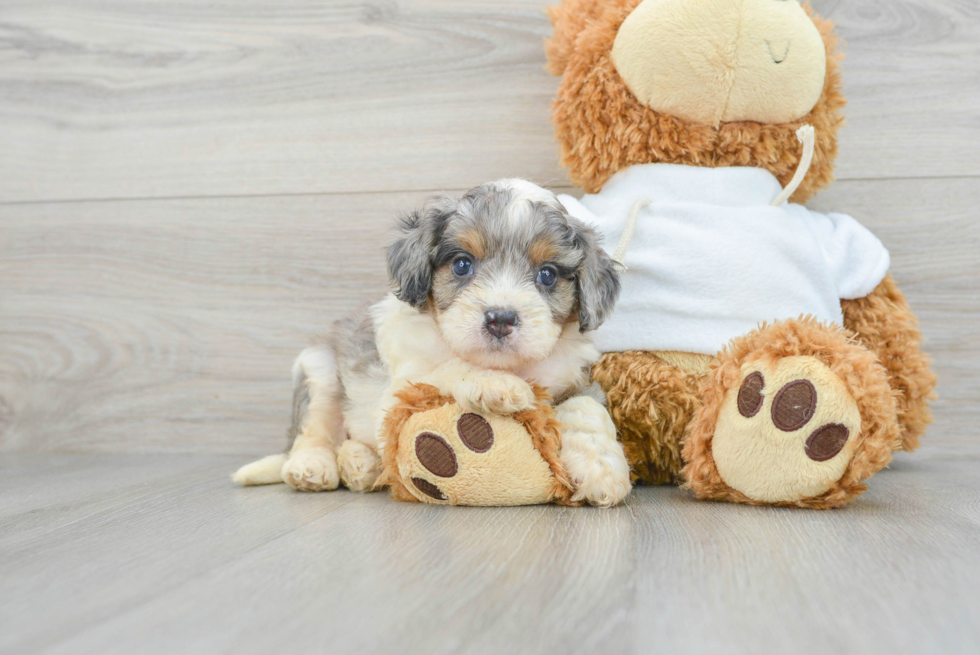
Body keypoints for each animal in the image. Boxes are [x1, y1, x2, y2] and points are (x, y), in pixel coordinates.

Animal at [238, 179, 636, 508]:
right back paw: (313, 466)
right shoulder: (400, 387)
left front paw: (602, 469)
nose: (500, 318)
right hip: (318, 370)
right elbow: (447, 366)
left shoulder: (576, 377)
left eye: (548, 275)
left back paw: (360, 465)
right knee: (314, 431)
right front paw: (497, 384)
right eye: (462, 265)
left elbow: (587, 409)